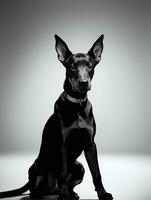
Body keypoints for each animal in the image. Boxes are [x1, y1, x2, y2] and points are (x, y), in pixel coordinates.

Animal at [0, 34, 113, 200]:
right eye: (72, 67)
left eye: (90, 66)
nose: (83, 83)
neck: (77, 105)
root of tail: (51, 190)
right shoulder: (62, 145)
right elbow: (63, 173)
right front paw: (64, 196)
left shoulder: (90, 144)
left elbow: (97, 173)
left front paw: (103, 193)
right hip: (37, 167)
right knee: (34, 189)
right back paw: (44, 195)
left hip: (79, 166)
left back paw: (71, 193)